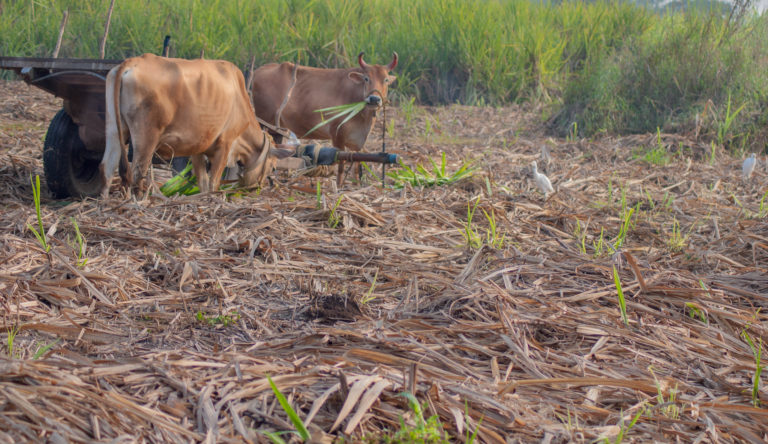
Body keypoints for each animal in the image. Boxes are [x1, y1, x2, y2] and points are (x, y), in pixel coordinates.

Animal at [98, 52, 272, 198]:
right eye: (273, 167)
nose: (257, 189)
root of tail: (133, 61)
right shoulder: (225, 144)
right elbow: (213, 182)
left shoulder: (198, 148)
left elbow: (202, 181)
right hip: (146, 137)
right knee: (136, 172)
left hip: (114, 130)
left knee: (107, 167)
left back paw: (105, 200)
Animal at [252, 51, 400, 184]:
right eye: (366, 78)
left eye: (386, 80)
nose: (374, 99)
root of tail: (257, 72)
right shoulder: (337, 135)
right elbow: (341, 166)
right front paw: (339, 187)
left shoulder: (357, 142)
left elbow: (357, 166)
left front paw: (356, 184)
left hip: (277, 130)